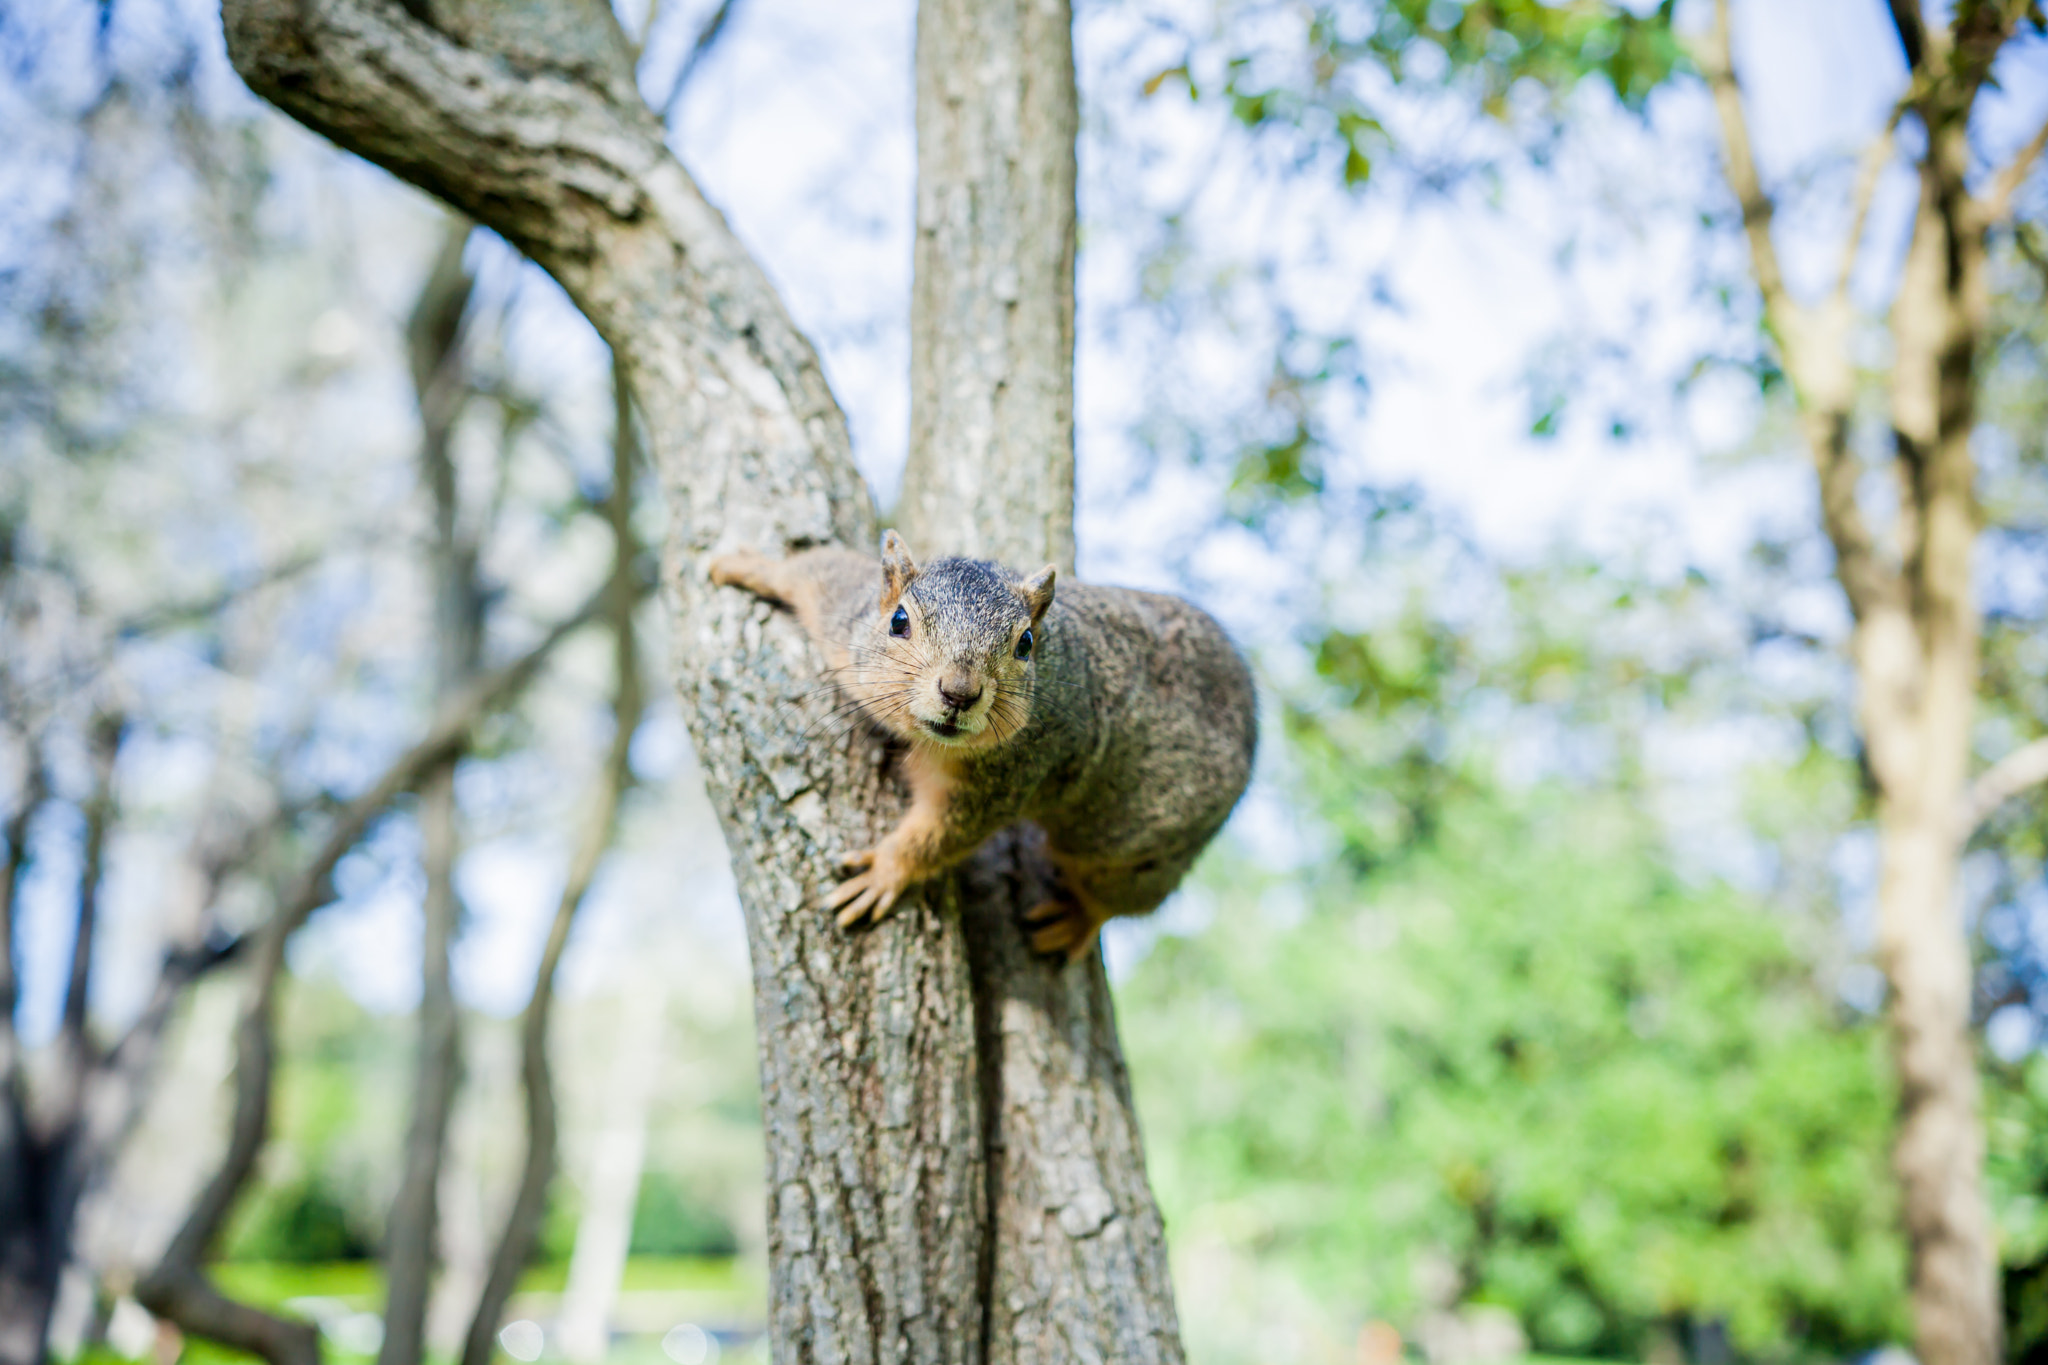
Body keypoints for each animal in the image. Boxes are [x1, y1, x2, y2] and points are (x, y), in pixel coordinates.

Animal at [704, 532, 1253, 961]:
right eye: (898, 621)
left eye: (1026, 643)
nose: (959, 693)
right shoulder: (845, 625)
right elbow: (816, 572)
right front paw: (748, 566)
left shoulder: (1010, 777)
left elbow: (942, 833)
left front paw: (884, 871)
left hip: (1136, 852)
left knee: (1115, 897)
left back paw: (1077, 918)